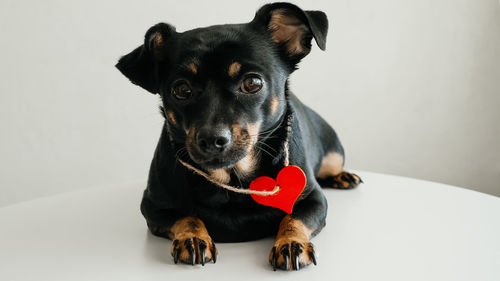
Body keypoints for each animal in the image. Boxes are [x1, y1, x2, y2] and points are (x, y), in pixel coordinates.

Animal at [115, 1, 362, 270]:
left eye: (253, 83)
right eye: (181, 90)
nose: (212, 139)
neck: (234, 180)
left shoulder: (314, 200)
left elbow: (293, 219)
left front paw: (291, 243)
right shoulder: (153, 207)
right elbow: (187, 217)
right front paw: (193, 239)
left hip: (333, 154)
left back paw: (342, 176)